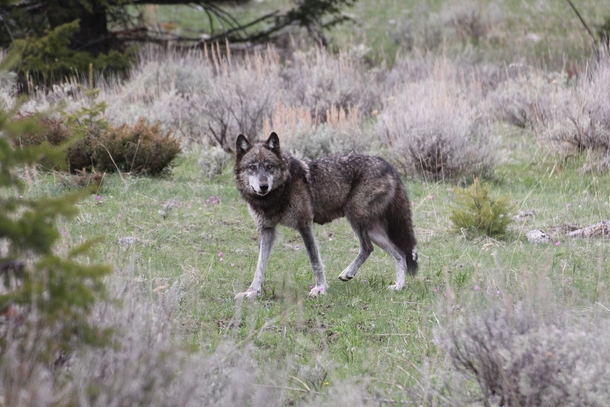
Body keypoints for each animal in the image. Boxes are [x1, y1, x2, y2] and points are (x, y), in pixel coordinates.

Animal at [230, 134, 416, 300]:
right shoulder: (267, 230)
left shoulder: (304, 224)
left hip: (355, 218)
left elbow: (315, 260)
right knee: (399, 254)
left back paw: (356, 275)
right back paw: (397, 286)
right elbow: (259, 266)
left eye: (269, 167)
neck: (278, 193)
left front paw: (320, 289)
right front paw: (251, 292)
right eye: (252, 167)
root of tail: (389, 166)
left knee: (369, 248)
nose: (263, 186)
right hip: (371, 229)